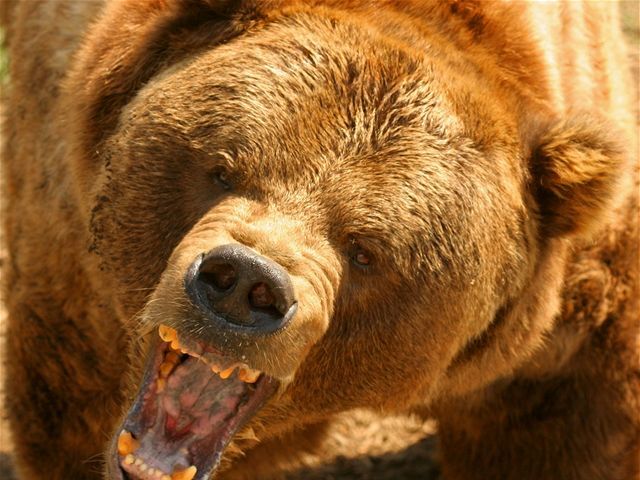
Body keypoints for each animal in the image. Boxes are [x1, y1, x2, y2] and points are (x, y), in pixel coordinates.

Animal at [1, 1, 638, 479]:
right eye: (222, 170)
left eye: (365, 250)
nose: (244, 285)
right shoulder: (71, 265)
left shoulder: (565, 312)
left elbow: (561, 427)